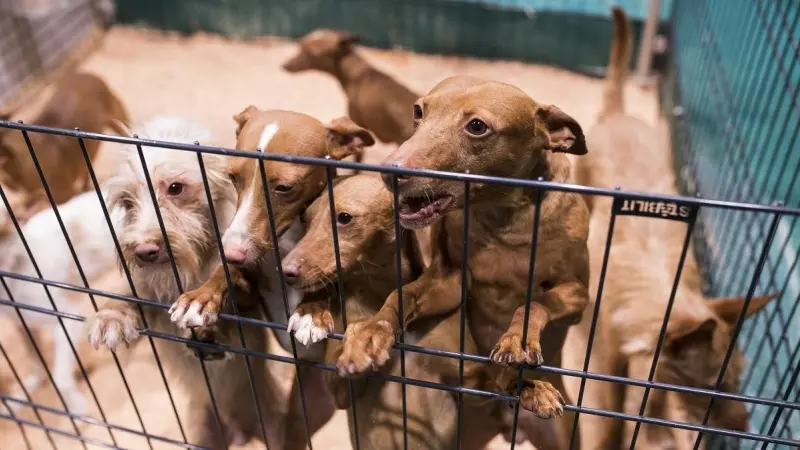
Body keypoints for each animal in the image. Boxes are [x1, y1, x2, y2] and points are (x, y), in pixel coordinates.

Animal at [83, 117, 294, 450]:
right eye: (127, 202)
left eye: (175, 188)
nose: (143, 251)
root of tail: (241, 429)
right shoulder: (149, 293)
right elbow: (130, 294)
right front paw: (111, 316)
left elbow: (235, 294)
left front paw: (210, 324)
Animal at [564, 7, 780, 450]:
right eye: (709, 387)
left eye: (738, 380)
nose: (743, 428)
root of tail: (619, 115)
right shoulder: (608, 363)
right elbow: (610, 418)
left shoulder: (650, 364)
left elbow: (653, 396)